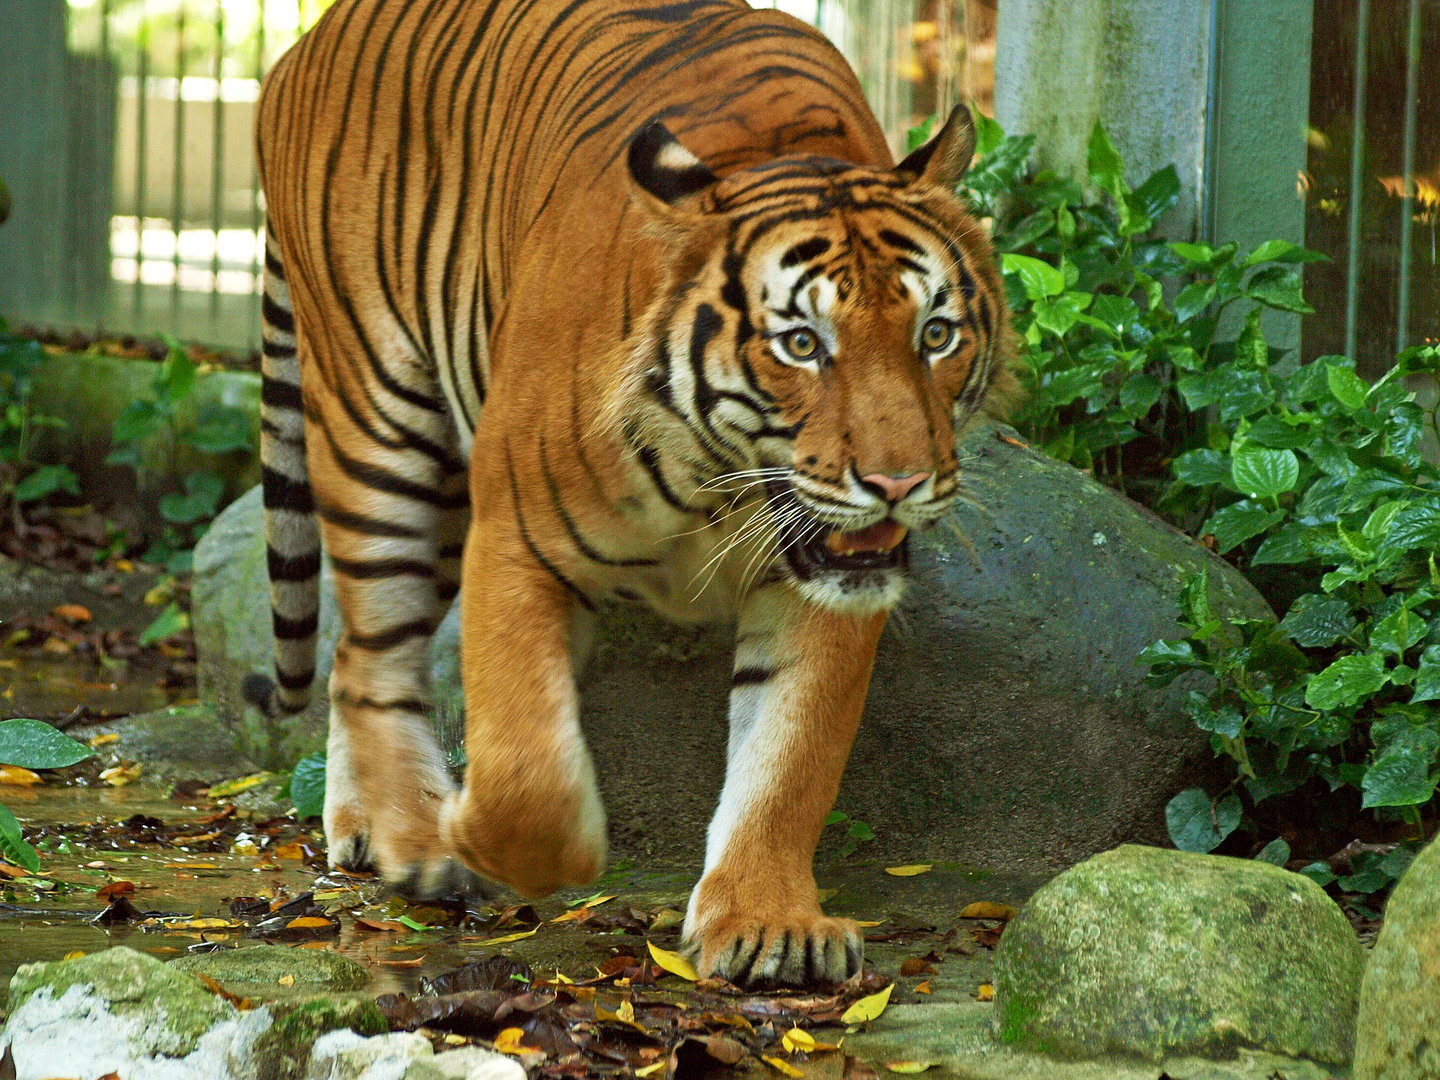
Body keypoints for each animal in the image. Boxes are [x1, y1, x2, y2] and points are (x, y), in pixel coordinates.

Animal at [246, 0, 1013, 987]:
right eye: (803, 344)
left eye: (937, 333)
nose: (898, 483)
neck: (715, 478)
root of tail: (307, 42)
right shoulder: (516, 540)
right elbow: (527, 774)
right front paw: (480, 839)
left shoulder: (828, 582)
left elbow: (790, 757)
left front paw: (767, 923)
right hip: (381, 422)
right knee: (377, 653)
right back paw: (415, 841)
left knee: (353, 658)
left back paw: (363, 826)